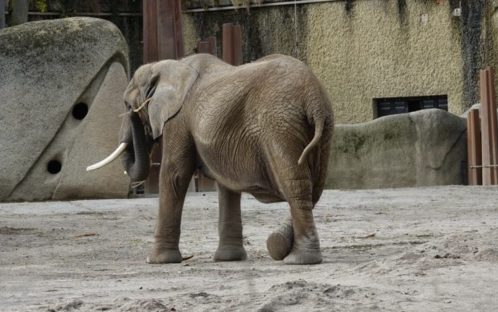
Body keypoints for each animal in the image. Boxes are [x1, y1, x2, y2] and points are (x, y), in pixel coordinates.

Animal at [87, 54, 334, 266]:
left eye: (128, 106)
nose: (132, 112)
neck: (169, 66)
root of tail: (313, 97)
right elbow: (226, 186)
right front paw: (229, 259)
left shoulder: (178, 119)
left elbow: (174, 175)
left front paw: (156, 261)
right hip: (322, 129)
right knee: (314, 186)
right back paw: (281, 246)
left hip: (279, 125)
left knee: (295, 185)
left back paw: (299, 259)